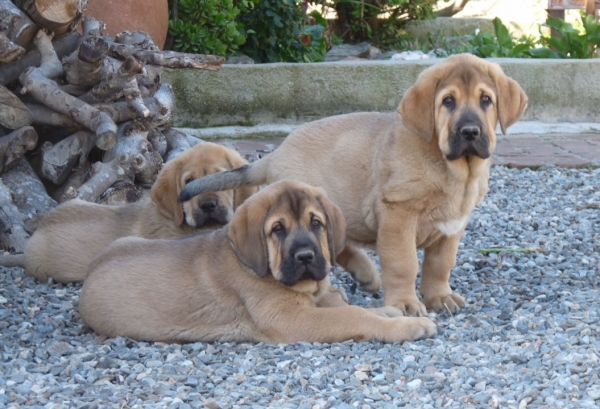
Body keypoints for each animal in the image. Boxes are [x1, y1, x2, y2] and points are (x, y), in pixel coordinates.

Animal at [79, 180, 436, 342]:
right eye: (277, 229)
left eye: (316, 223)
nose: (306, 256)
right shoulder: (290, 319)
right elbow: (352, 316)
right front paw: (406, 326)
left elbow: (349, 306)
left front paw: (389, 311)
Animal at [180, 53, 528, 316]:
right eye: (448, 102)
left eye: (486, 100)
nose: (470, 131)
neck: (452, 169)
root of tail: (277, 153)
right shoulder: (398, 218)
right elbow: (404, 264)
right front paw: (405, 304)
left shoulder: (451, 226)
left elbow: (440, 265)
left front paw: (439, 297)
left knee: (340, 244)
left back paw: (367, 275)